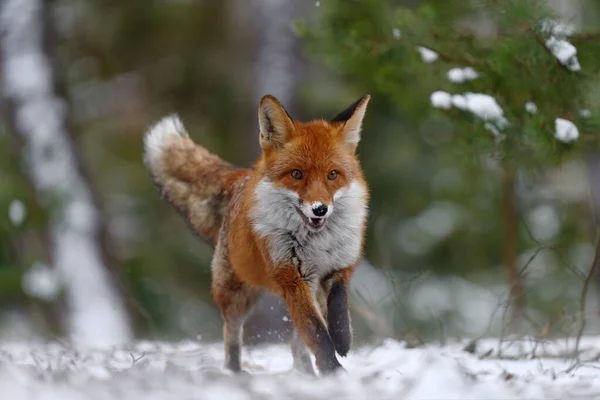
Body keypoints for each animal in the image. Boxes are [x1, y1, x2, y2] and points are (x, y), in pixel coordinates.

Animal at [145, 94, 370, 376]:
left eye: (332, 175)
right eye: (297, 174)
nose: (320, 209)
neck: (317, 244)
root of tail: (245, 176)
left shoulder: (341, 266)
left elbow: (338, 308)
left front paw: (342, 340)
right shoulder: (292, 279)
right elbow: (317, 334)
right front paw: (334, 371)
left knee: (296, 346)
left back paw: (305, 372)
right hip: (236, 293)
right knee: (232, 335)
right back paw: (235, 372)